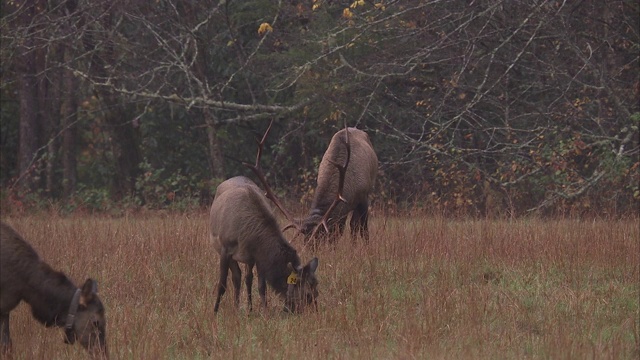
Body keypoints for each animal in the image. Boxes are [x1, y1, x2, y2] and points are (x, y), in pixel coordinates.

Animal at [211, 176, 318, 312]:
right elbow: (222, 284)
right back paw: (236, 308)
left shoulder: (259, 256)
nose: (313, 313)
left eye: (317, 292)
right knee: (237, 277)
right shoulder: (225, 249)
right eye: (307, 295)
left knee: (244, 277)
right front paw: (215, 311)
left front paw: (265, 312)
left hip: (248, 259)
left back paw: (246, 309)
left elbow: (262, 287)